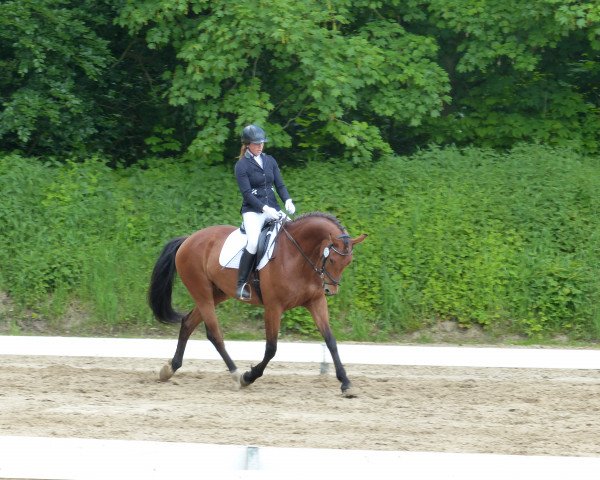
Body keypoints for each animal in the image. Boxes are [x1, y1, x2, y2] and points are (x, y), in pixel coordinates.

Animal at [148, 212, 368, 396]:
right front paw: (249, 376)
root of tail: (188, 239)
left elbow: (331, 341)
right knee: (214, 333)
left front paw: (346, 383)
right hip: (201, 292)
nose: (330, 291)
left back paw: (170, 369)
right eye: (331, 260)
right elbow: (271, 348)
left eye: (348, 262)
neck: (298, 255)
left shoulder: (316, 302)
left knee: (188, 323)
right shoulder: (273, 307)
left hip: (217, 293)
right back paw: (236, 374)